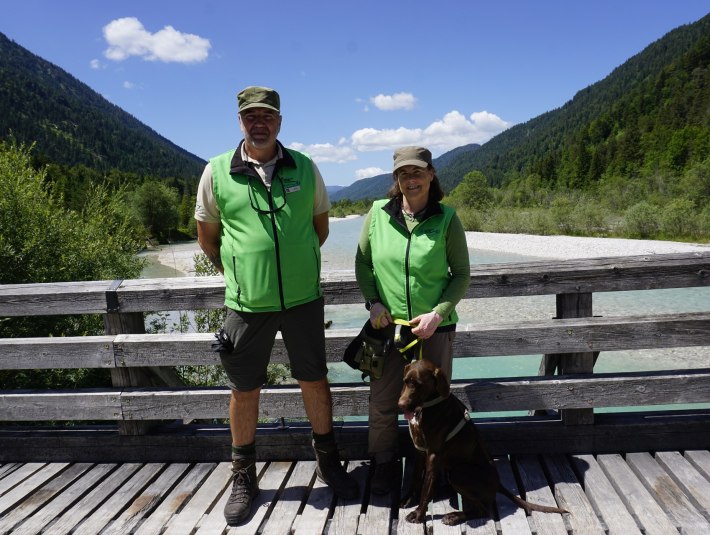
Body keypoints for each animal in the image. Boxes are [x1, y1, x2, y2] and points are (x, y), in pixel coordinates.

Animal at [398, 360, 572, 528]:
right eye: (405, 381)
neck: (427, 406)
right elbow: (415, 478)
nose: (400, 405)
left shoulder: (433, 455)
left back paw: (454, 516)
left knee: (483, 510)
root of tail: (498, 483)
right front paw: (408, 499)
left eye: (418, 384)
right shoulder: (419, 449)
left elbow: (426, 490)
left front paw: (419, 514)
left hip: (458, 473)